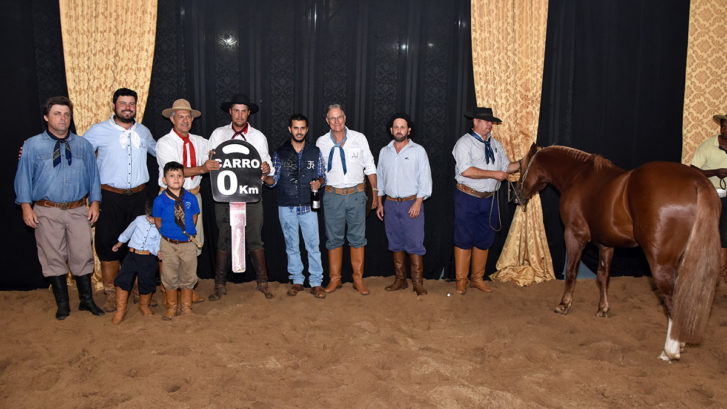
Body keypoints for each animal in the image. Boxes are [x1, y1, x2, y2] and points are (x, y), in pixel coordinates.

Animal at [516, 144, 724, 360]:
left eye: (523, 165)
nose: (518, 193)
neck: (579, 176)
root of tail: (697, 182)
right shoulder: (606, 243)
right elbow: (603, 276)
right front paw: (603, 309)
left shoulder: (574, 234)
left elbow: (571, 272)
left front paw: (564, 305)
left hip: (660, 261)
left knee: (671, 297)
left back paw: (670, 350)